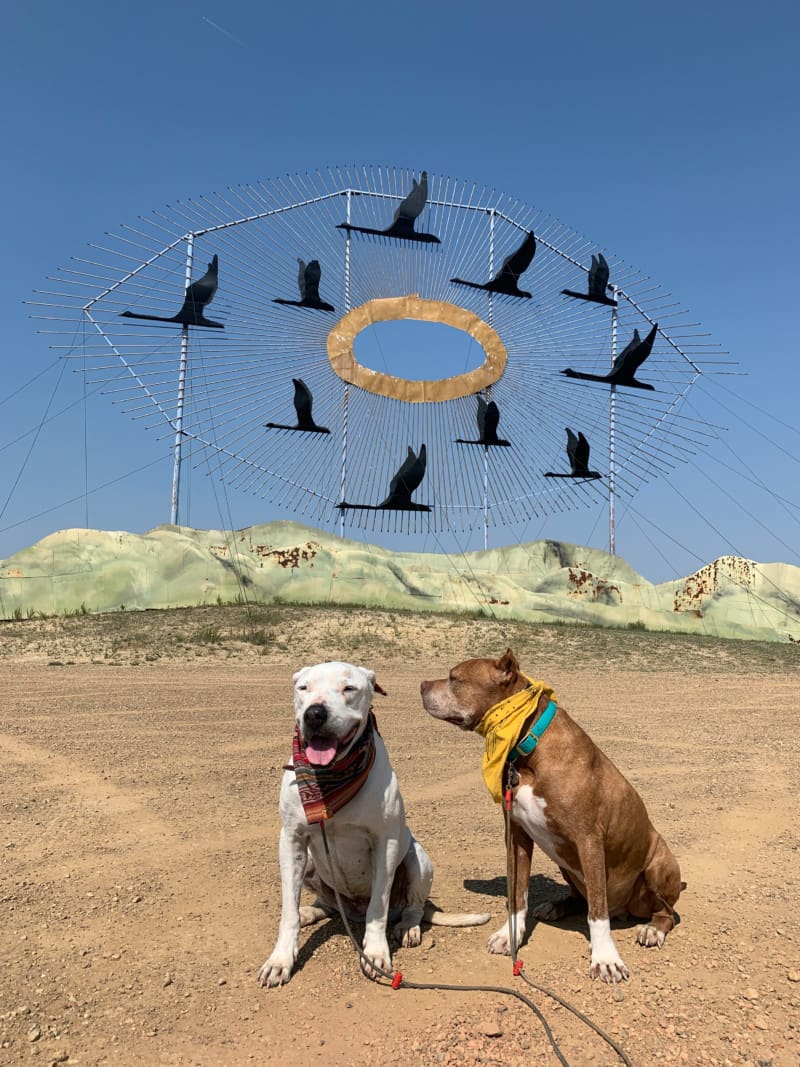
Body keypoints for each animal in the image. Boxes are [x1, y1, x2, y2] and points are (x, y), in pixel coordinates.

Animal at [260, 661, 492, 985]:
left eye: (349, 688)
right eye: (303, 688)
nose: (314, 714)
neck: (330, 780)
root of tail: (352, 911)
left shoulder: (386, 843)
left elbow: (378, 907)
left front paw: (375, 953)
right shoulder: (292, 839)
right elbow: (288, 911)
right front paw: (281, 958)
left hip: (417, 859)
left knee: (413, 907)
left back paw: (408, 927)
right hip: (310, 863)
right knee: (328, 906)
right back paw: (310, 912)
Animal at [420, 648, 682, 981]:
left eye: (454, 678)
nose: (421, 685)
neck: (526, 742)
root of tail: (626, 910)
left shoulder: (589, 840)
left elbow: (597, 912)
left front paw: (605, 958)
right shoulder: (517, 837)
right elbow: (517, 896)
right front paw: (510, 935)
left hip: (659, 863)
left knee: (664, 912)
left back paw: (652, 929)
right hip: (566, 866)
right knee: (581, 898)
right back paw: (557, 906)